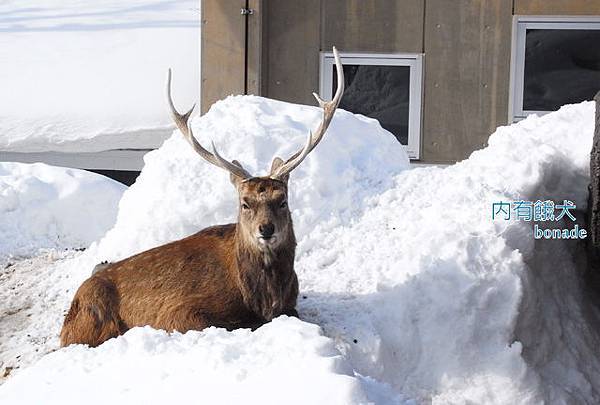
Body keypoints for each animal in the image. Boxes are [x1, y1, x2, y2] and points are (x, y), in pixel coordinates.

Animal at [59, 46, 344, 344]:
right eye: (245, 203)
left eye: (282, 201)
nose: (266, 229)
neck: (262, 296)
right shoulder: (178, 312)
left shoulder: (290, 304)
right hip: (91, 320)